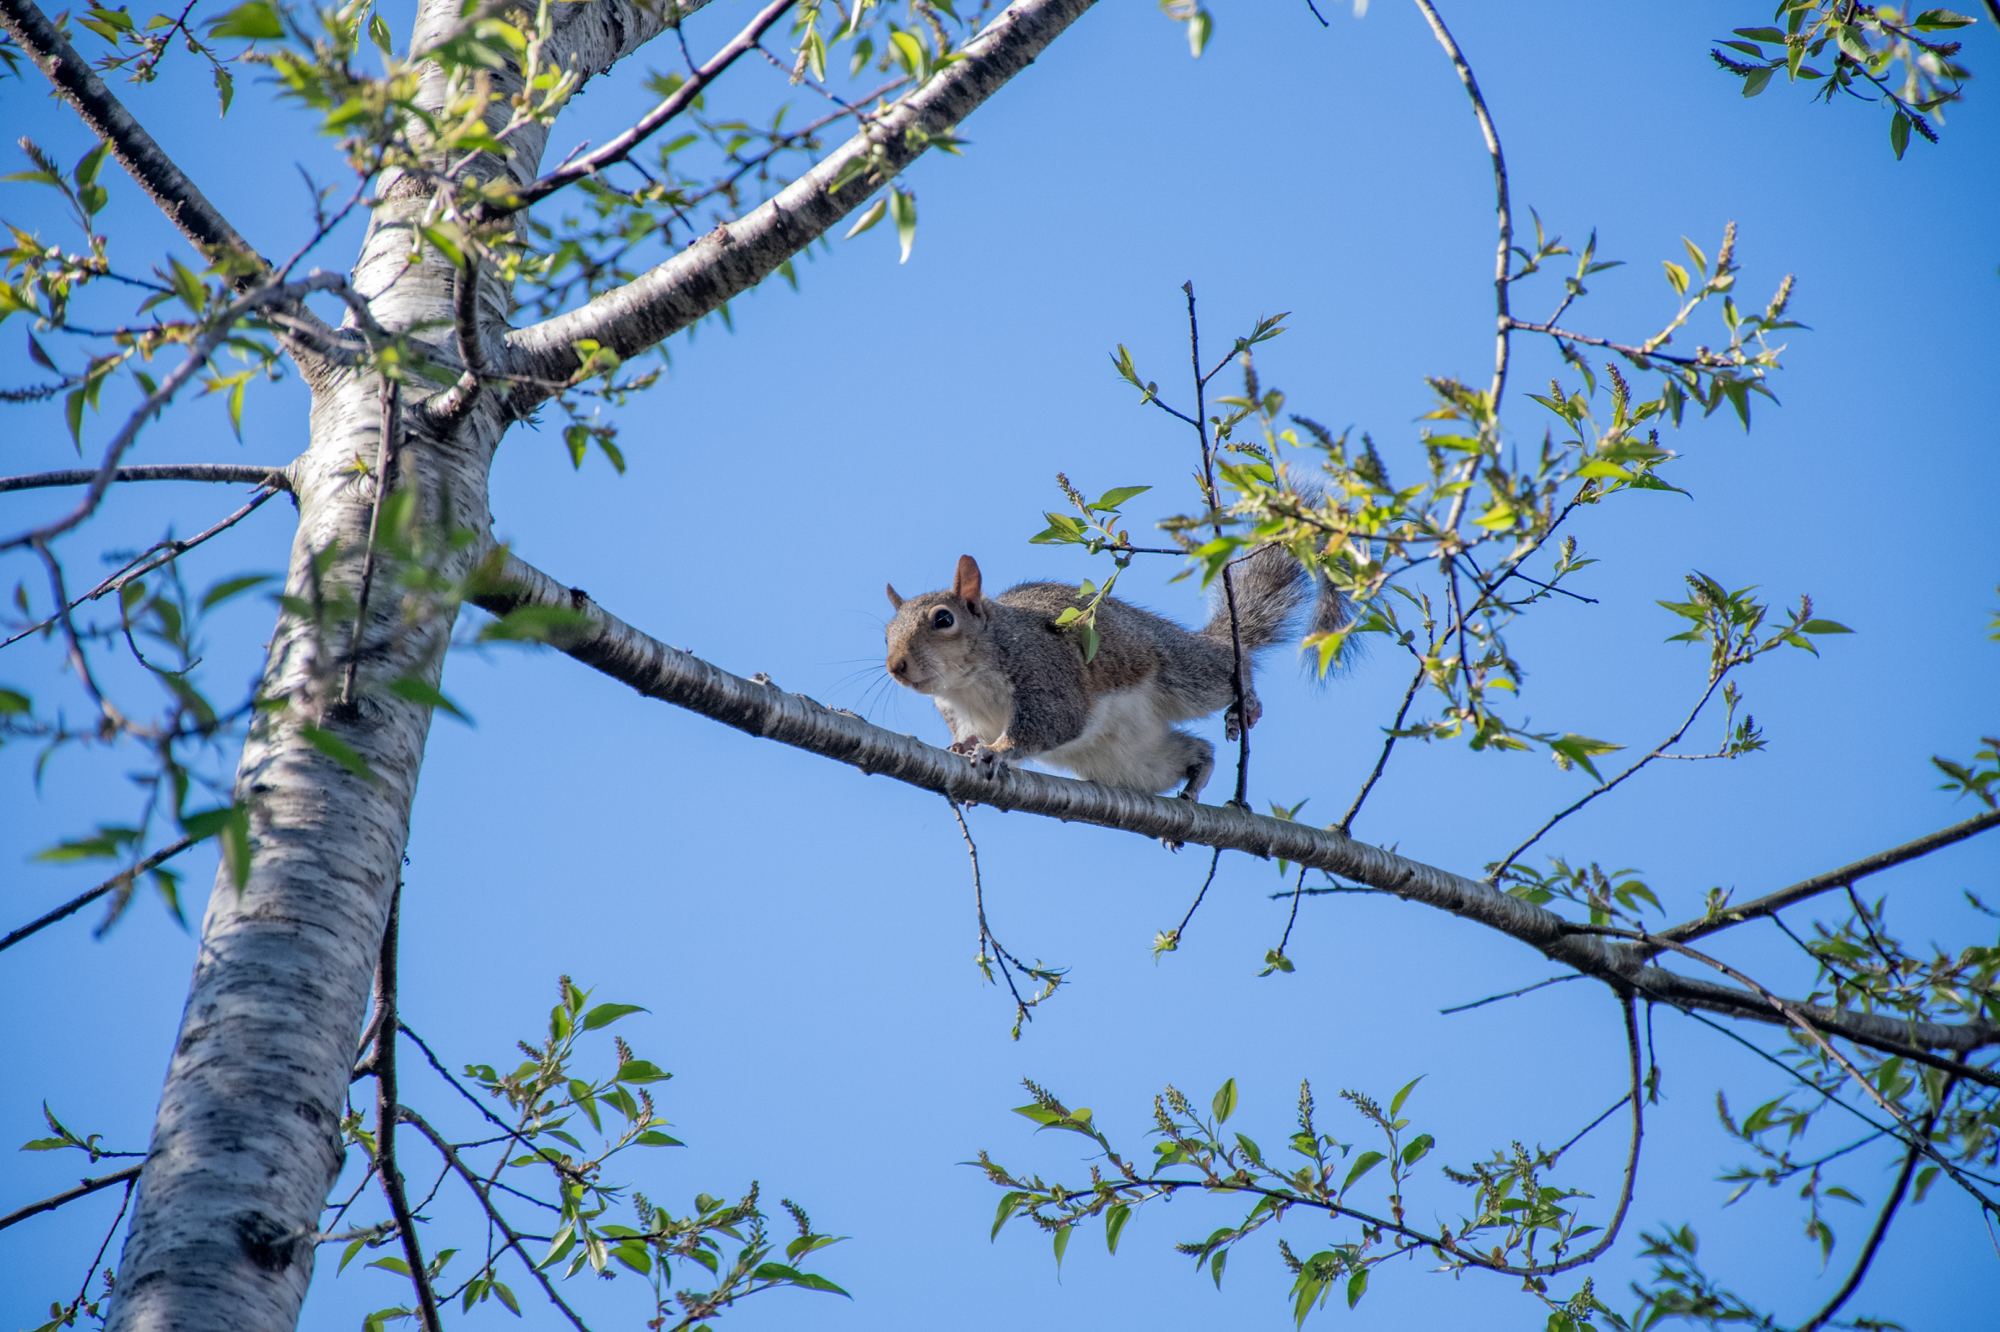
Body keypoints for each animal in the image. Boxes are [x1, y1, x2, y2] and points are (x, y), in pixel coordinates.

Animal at [880, 548, 1336, 800]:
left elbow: (1053, 722)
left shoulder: (1046, 671)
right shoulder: (958, 711)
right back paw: (1196, 775)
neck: (967, 684)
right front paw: (963, 747)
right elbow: (966, 732)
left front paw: (995, 750)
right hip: (1135, 761)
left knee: (1225, 666)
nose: (895, 667)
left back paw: (1247, 702)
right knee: (1195, 750)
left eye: (943, 619)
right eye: (885, 633)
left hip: (1183, 672)